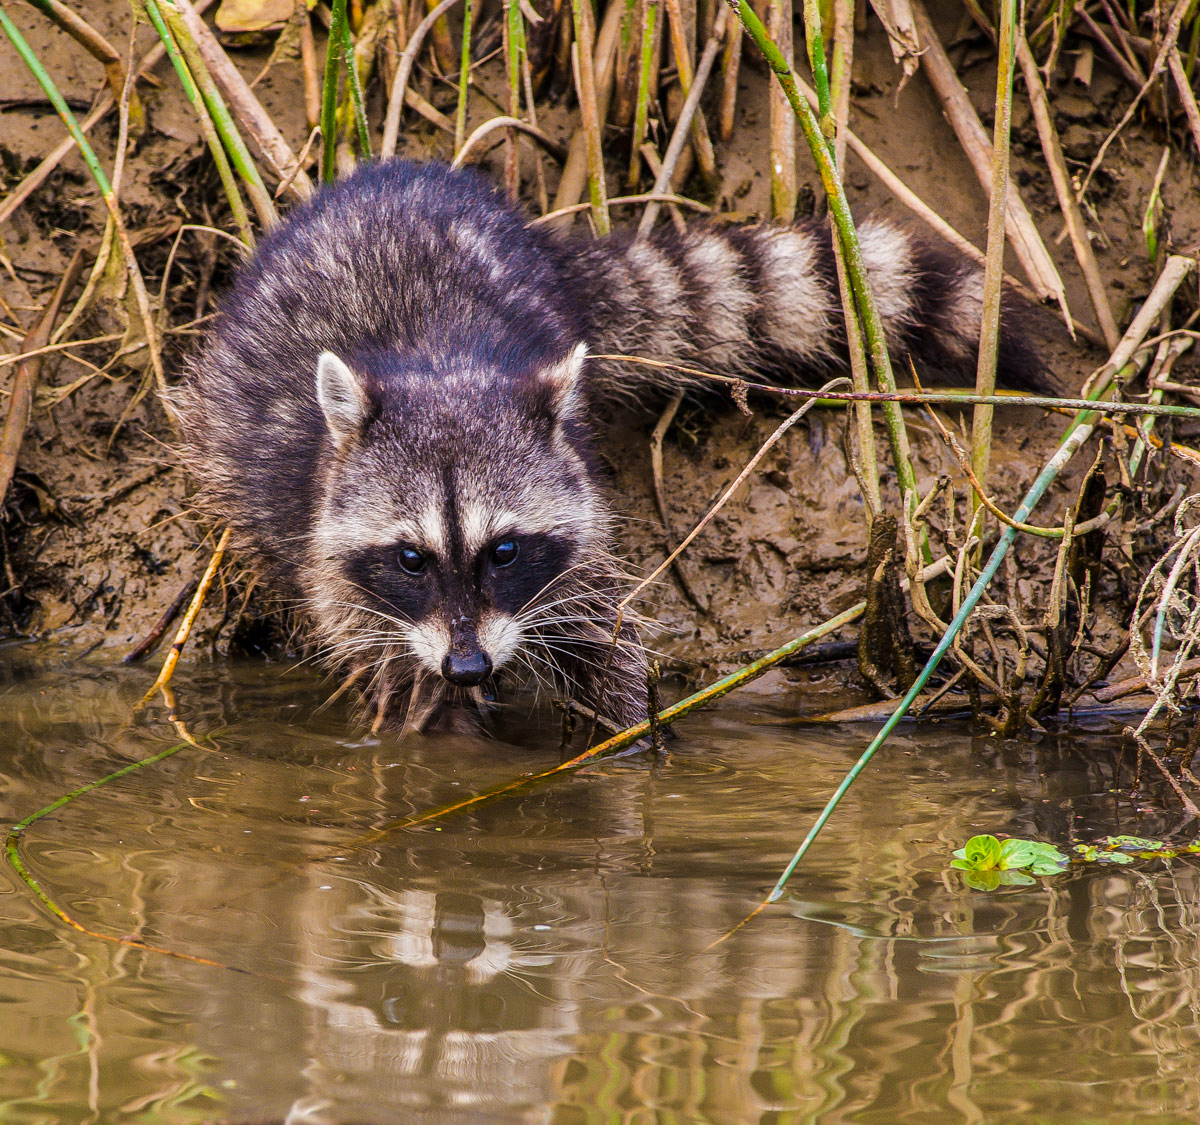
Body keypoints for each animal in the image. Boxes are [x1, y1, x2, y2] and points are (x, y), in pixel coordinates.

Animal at [176, 160, 1042, 732]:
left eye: (504, 549)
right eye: (411, 557)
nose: (468, 667)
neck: (440, 366)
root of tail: (406, 174)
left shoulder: (575, 527)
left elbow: (603, 637)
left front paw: (626, 743)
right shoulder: (339, 560)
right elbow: (379, 656)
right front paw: (424, 722)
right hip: (228, 413)